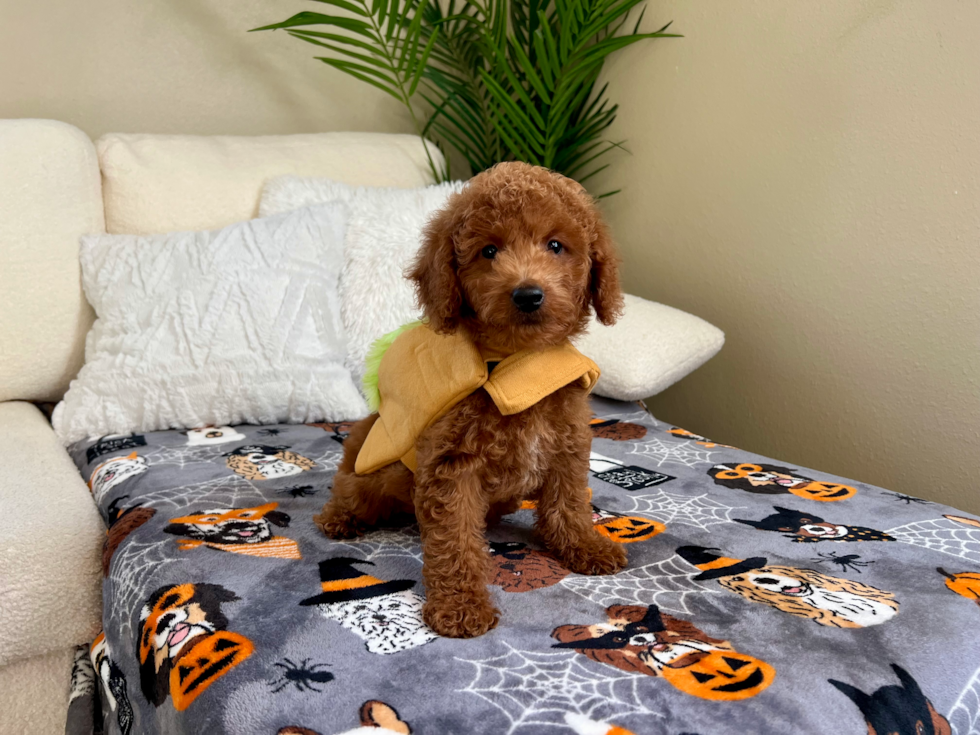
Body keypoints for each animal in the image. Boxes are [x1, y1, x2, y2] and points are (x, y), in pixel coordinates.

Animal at [318, 161, 632, 640]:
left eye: (555, 245)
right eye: (488, 251)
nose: (527, 294)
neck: (517, 365)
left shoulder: (566, 446)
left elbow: (570, 504)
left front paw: (584, 545)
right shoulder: (452, 468)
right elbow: (456, 542)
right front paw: (461, 605)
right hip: (375, 469)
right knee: (349, 487)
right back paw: (338, 517)